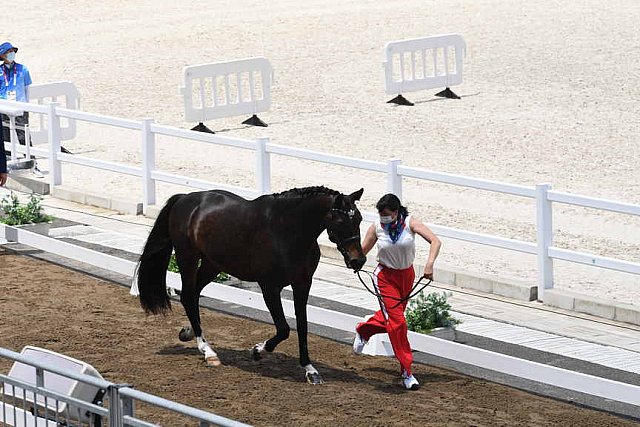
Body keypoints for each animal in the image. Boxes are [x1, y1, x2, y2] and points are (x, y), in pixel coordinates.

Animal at [135, 186, 364, 384]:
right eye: (340, 220)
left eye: (359, 218)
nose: (358, 261)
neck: (287, 232)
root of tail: (184, 198)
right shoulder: (269, 287)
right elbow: (283, 329)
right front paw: (256, 350)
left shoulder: (302, 284)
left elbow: (302, 326)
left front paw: (310, 370)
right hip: (187, 258)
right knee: (189, 296)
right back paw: (208, 351)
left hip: (212, 264)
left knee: (191, 295)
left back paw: (189, 333)